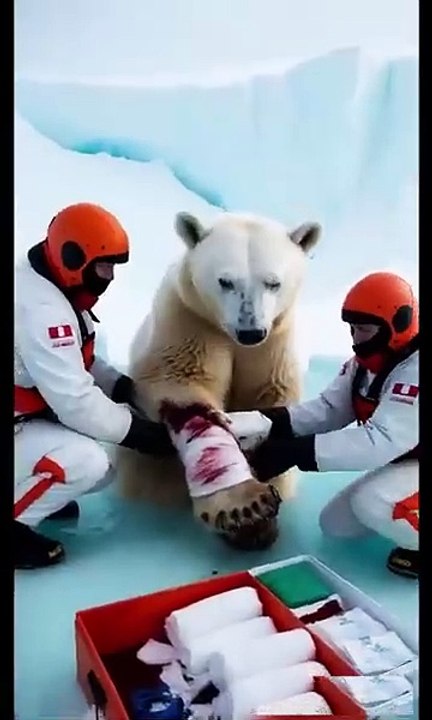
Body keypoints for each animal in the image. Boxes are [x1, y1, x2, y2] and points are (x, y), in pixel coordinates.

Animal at [116, 210, 321, 550]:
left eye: (273, 283)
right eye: (225, 281)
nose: (250, 331)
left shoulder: (275, 344)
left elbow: (270, 398)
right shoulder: (190, 320)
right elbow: (182, 386)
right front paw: (245, 509)